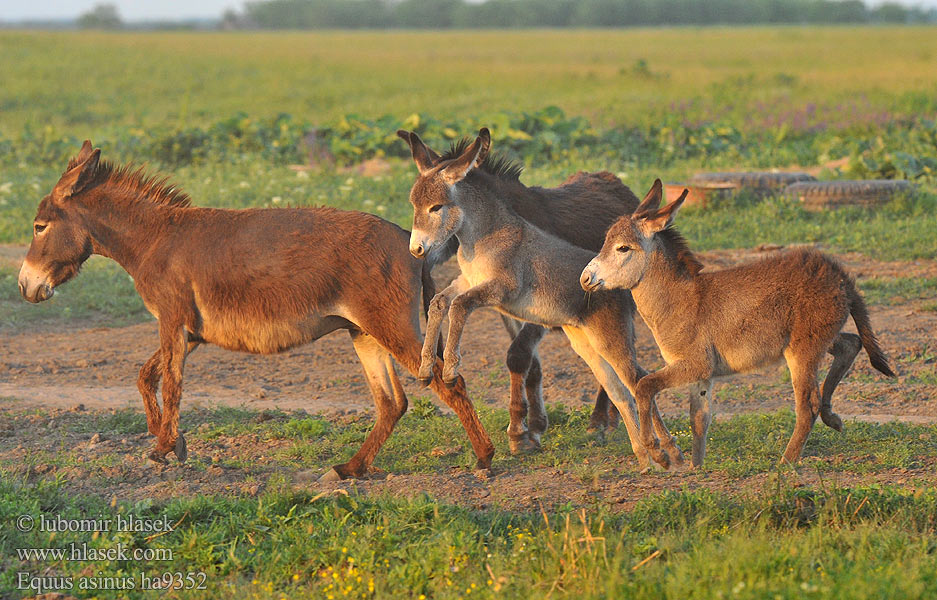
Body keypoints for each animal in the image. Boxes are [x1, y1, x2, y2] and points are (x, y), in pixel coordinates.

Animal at [18, 139, 494, 478]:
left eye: (39, 227)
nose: (24, 286)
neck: (153, 240)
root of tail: (409, 242)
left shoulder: (172, 321)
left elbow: (171, 383)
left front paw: (163, 449)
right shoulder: (190, 331)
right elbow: (146, 376)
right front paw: (168, 439)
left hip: (389, 325)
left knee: (447, 383)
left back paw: (484, 458)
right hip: (364, 331)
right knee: (392, 402)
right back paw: (351, 468)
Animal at [402, 129, 680, 472]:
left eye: (436, 207)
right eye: (414, 204)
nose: (417, 250)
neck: (483, 235)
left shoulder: (502, 290)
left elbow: (463, 309)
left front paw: (453, 371)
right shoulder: (470, 284)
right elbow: (440, 303)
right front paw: (426, 367)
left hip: (607, 334)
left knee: (635, 377)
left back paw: (646, 441)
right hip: (587, 340)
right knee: (621, 385)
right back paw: (640, 448)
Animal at [580, 178, 896, 464]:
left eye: (623, 248)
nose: (585, 278)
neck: (680, 299)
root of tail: (840, 276)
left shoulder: (695, 363)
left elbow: (644, 386)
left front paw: (659, 453)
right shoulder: (701, 374)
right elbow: (698, 420)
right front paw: (695, 467)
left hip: (802, 349)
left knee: (808, 404)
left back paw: (786, 463)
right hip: (817, 337)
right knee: (850, 343)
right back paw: (832, 417)